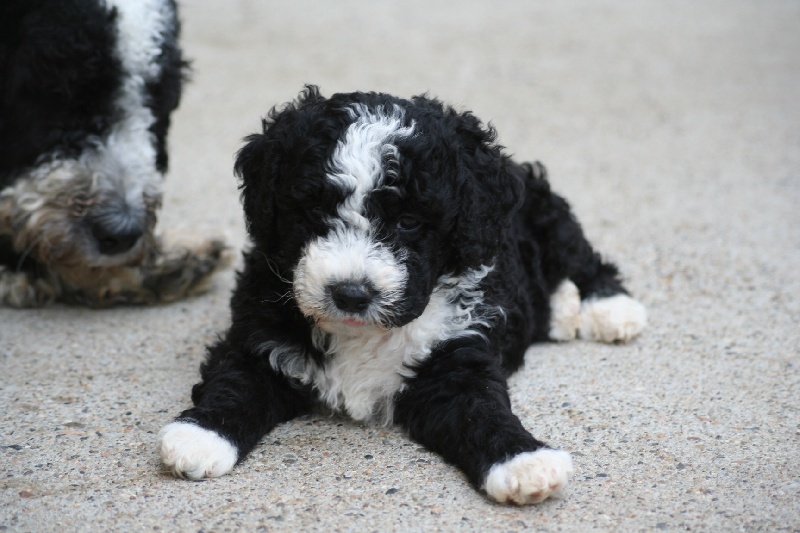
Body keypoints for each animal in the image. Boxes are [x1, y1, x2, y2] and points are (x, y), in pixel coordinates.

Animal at [158, 86, 647, 504]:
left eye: (409, 222)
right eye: (313, 211)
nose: (351, 294)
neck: (362, 334)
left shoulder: (455, 360)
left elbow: (481, 412)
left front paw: (522, 461)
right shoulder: (260, 339)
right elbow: (236, 383)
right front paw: (201, 436)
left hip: (547, 211)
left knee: (580, 254)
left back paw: (609, 308)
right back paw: (562, 310)